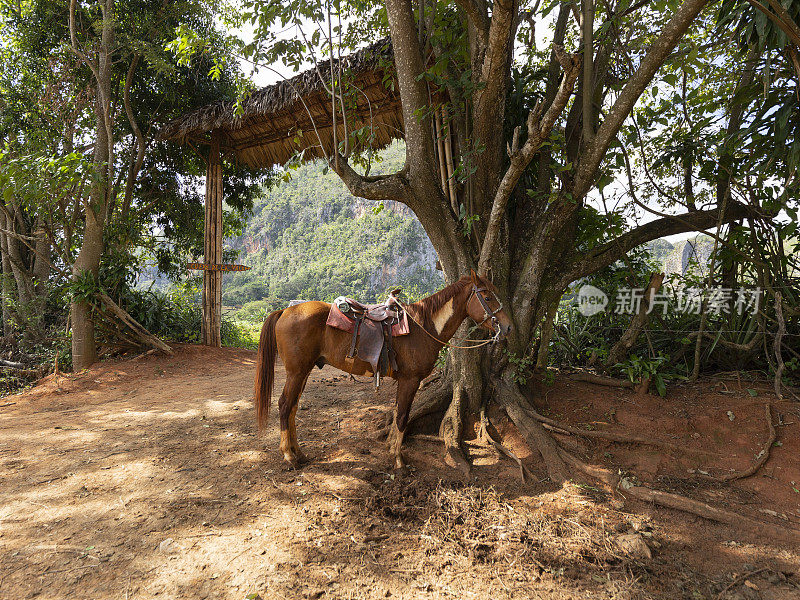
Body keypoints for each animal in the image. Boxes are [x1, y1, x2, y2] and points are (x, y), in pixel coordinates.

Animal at [253, 270, 512, 472]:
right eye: (487, 296)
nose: (508, 327)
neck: (424, 327)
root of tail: (285, 311)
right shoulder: (410, 380)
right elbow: (402, 416)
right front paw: (398, 460)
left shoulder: (405, 381)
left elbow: (398, 412)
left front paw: (391, 449)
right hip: (297, 372)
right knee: (285, 405)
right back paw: (289, 456)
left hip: (304, 372)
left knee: (293, 407)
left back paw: (299, 453)